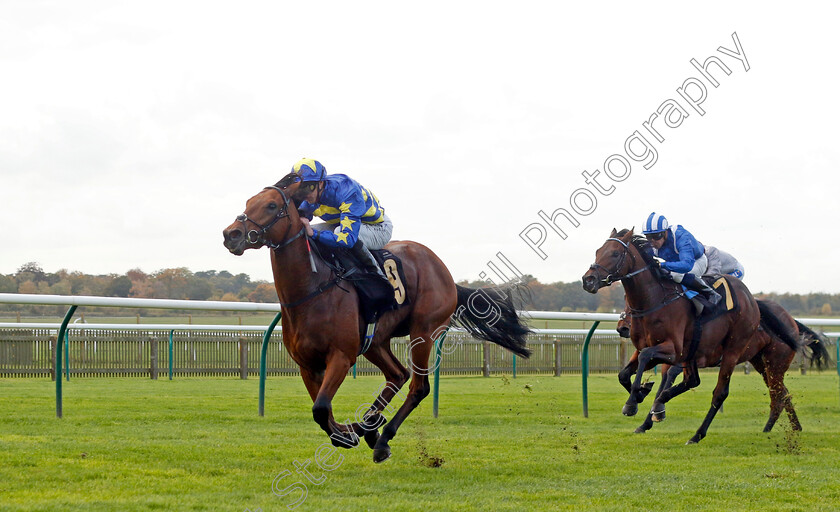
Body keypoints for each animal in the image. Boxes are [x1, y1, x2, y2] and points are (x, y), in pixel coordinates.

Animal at [220, 181, 528, 464]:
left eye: (272, 205)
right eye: (248, 202)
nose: (231, 234)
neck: (311, 290)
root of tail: (448, 275)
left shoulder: (341, 357)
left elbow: (321, 409)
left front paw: (354, 433)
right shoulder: (307, 365)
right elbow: (324, 412)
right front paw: (351, 431)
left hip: (424, 331)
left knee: (418, 386)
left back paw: (381, 437)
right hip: (375, 341)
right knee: (398, 375)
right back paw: (370, 427)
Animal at [580, 228, 796, 444]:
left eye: (615, 253)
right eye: (598, 251)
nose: (588, 280)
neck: (655, 301)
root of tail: (752, 300)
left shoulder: (673, 350)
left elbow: (647, 360)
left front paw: (633, 402)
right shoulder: (647, 349)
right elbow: (624, 374)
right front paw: (643, 393)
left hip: (737, 353)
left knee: (721, 393)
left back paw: (696, 434)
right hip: (731, 358)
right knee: (695, 381)